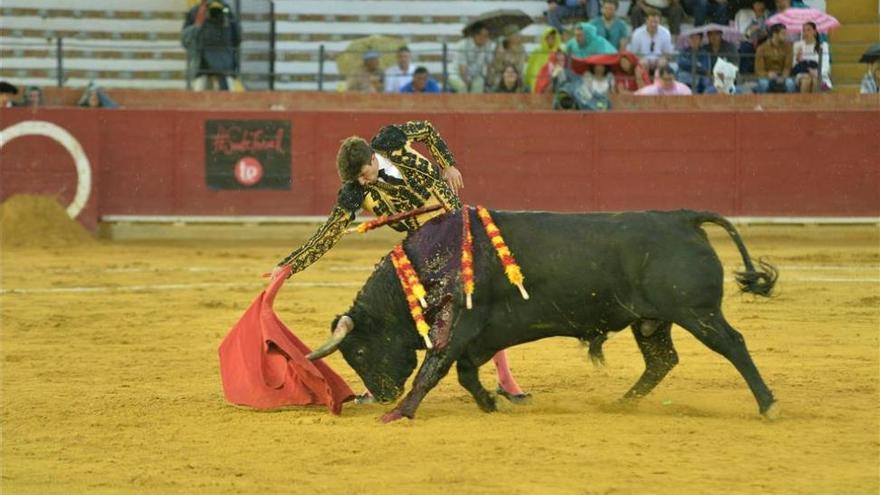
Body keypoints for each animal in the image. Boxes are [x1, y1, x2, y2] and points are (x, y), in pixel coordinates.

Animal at [308, 209, 776, 422]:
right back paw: (621, 403)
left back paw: (768, 405)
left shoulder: (457, 327)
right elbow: (464, 373)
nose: (381, 394)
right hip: (652, 321)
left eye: (359, 351)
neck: (424, 267)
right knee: (662, 360)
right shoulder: (480, 337)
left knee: (733, 344)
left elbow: (435, 368)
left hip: (697, 312)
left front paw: (400, 414)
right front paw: (490, 403)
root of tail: (683, 217)